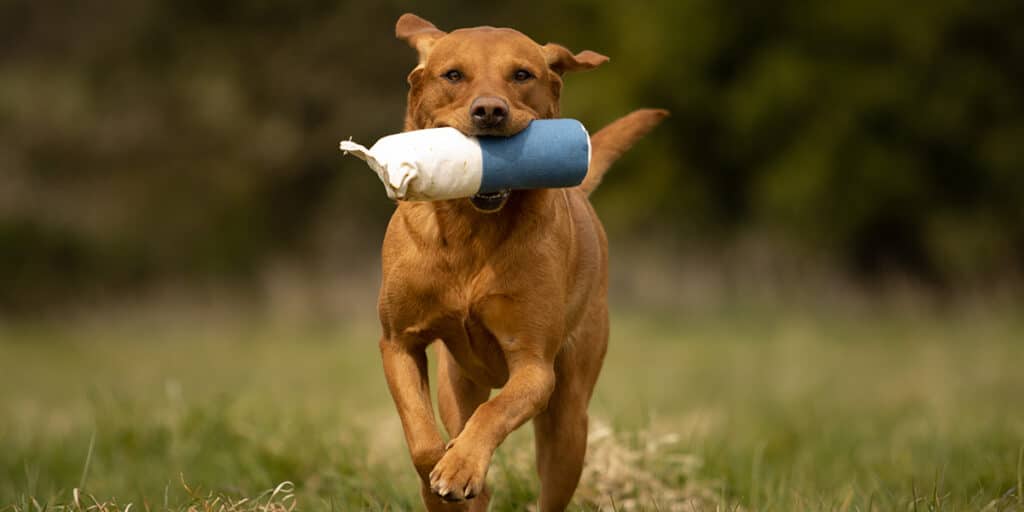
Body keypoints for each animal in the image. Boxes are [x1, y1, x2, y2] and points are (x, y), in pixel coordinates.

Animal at [374, 14, 663, 509]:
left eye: (522, 75)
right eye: (453, 75)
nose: (490, 111)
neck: (472, 229)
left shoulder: (534, 366)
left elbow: (495, 411)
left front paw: (462, 466)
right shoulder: (398, 342)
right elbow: (424, 439)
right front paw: (441, 474)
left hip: (569, 419)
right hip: (458, 380)